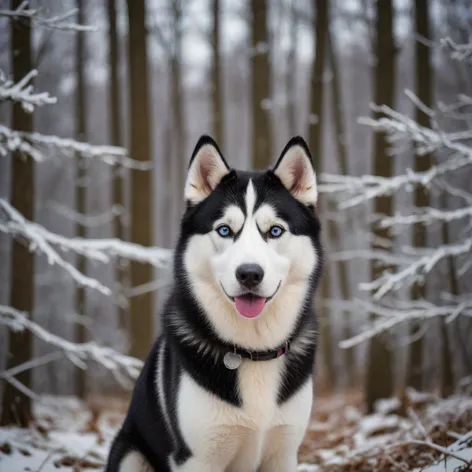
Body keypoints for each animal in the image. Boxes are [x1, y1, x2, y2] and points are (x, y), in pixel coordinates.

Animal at [106, 135, 320, 470]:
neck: (251, 351)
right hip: (130, 451)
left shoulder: (284, 452)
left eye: (275, 231)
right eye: (224, 230)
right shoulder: (196, 457)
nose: (249, 274)